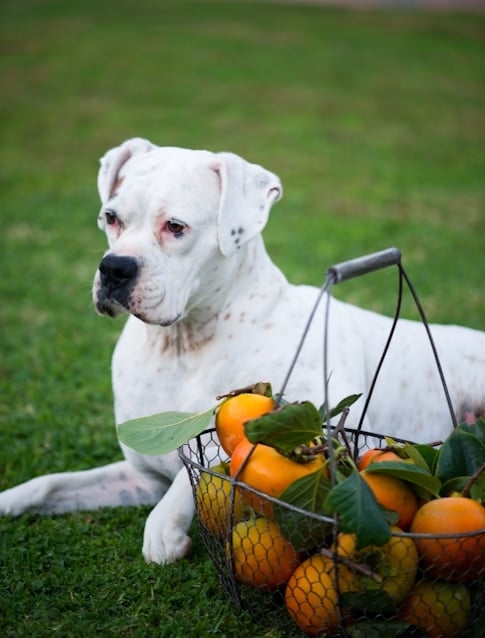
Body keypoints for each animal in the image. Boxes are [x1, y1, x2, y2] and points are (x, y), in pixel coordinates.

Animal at [0, 139, 484, 564]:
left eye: (175, 227)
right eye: (111, 217)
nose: (114, 268)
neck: (184, 344)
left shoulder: (316, 408)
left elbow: (215, 461)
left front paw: (164, 525)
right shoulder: (141, 477)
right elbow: (48, 484)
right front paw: (10, 499)